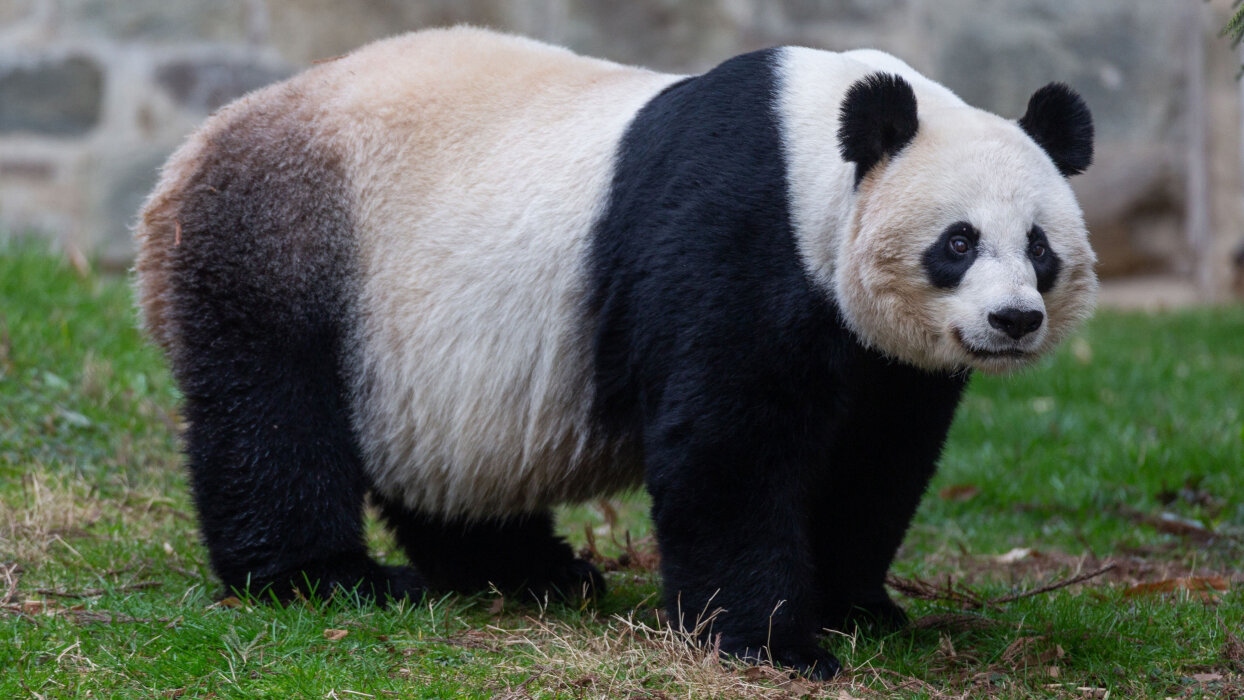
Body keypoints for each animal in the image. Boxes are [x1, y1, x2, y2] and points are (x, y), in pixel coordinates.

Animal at [134, 27, 1095, 679]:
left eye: (1040, 246)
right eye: (958, 243)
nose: (1013, 320)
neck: (819, 159)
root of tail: (183, 165)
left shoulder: (883, 360)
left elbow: (876, 460)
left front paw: (858, 606)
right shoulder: (737, 238)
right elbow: (728, 448)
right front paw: (773, 643)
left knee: (438, 466)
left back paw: (532, 573)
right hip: (286, 246)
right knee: (272, 416)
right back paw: (331, 578)